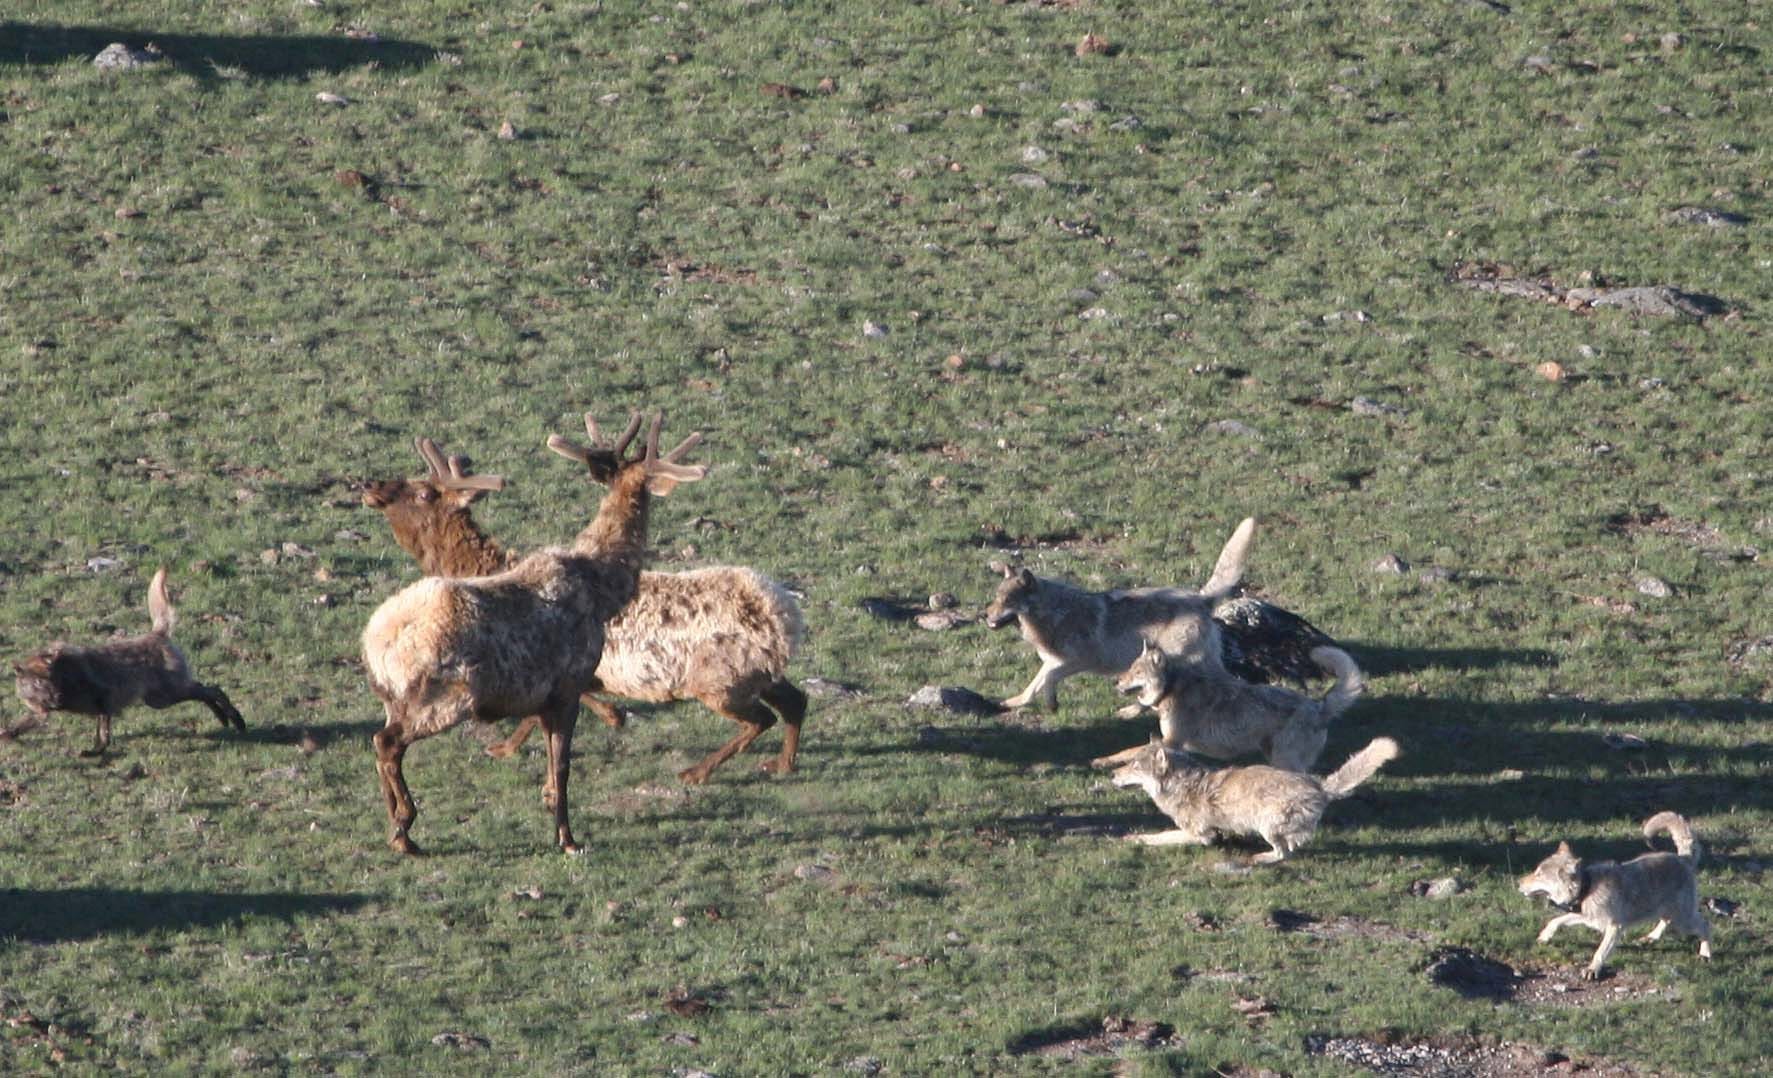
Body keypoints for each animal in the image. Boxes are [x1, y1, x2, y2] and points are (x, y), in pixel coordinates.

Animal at [360, 411, 705, 854]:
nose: (369, 485)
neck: (604, 588)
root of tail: (376, 644)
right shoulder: (568, 686)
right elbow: (563, 766)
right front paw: (567, 837)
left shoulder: (545, 697)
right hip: (443, 698)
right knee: (386, 741)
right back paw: (405, 828)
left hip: (394, 699)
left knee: (381, 742)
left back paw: (396, 826)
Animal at [360, 434, 808, 783]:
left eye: (423, 491)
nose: (371, 483)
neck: (485, 568)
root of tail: (787, 615)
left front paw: (508, 747)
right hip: (760, 673)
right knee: (795, 700)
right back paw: (782, 763)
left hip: (718, 681)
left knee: (762, 718)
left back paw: (698, 771)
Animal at [1109, 735, 1398, 864]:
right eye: (1128, 762)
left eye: (1135, 767)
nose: (1112, 775)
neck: (1182, 783)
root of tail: (1319, 785)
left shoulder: (1200, 835)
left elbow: (1159, 837)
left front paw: (1134, 839)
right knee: (1291, 848)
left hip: (1266, 824)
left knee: (1282, 853)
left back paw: (1260, 858)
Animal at [1518, 811, 1713, 980]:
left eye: (1539, 875)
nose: (1518, 883)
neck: (1588, 889)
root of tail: (1682, 859)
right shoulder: (1585, 917)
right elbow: (1556, 921)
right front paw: (1544, 936)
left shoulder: (1614, 927)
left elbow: (1600, 952)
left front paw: (1592, 969)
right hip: (1667, 911)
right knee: (1666, 921)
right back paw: (1651, 938)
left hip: (1683, 920)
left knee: (1705, 925)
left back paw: (1705, 954)